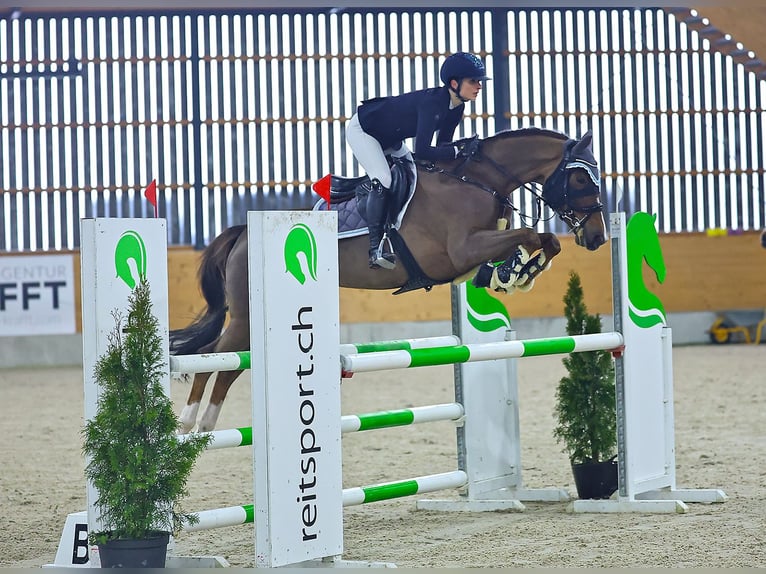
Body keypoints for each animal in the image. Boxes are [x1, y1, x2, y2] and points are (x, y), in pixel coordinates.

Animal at [170, 127, 608, 432]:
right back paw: (193, 420)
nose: (597, 237)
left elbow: (542, 241)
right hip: (245, 317)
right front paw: (520, 271)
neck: (477, 181)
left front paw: (515, 273)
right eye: (581, 179)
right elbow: (530, 235)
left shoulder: (474, 254)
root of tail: (243, 233)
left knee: (224, 363)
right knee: (214, 357)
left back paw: (204, 422)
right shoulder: (461, 251)